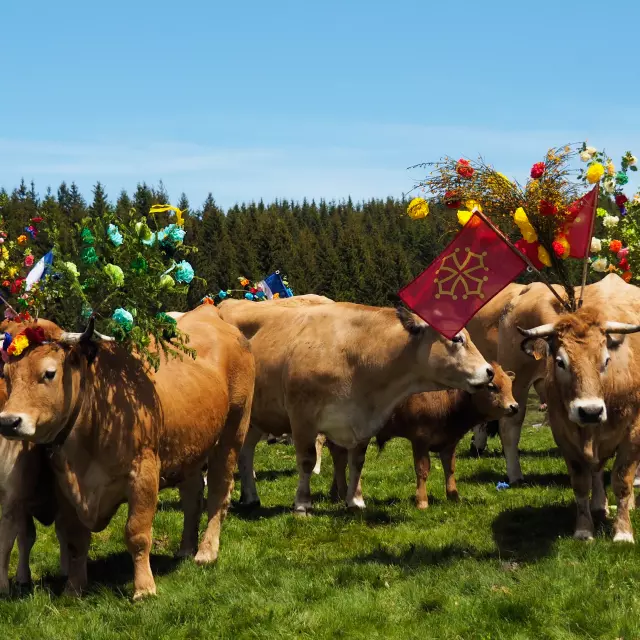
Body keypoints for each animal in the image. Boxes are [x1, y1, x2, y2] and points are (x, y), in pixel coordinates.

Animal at [0, 302, 254, 596]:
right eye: (6, 375)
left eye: (49, 373)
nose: (8, 421)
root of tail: (211, 314)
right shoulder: (65, 486)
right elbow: (75, 540)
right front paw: (74, 588)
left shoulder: (143, 475)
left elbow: (137, 533)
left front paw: (144, 588)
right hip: (189, 449)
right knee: (192, 499)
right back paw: (185, 549)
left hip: (232, 432)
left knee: (218, 492)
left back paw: (206, 551)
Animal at [220, 300, 496, 516]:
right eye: (457, 338)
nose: (489, 371)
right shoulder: (302, 417)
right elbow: (308, 461)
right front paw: (302, 505)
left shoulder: (362, 422)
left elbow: (357, 461)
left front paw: (356, 501)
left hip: (255, 417)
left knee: (245, 453)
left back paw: (250, 496)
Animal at [328, 362, 516, 508]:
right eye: (492, 387)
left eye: (510, 385)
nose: (514, 406)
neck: (446, 400)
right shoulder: (420, 440)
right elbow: (422, 470)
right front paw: (422, 501)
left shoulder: (449, 442)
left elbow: (450, 469)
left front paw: (454, 496)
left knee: (340, 460)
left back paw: (337, 493)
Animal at [516, 276, 640, 540]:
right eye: (560, 362)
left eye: (606, 360)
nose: (590, 411)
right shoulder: (564, 434)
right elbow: (581, 482)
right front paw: (584, 529)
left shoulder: (634, 433)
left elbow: (622, 480)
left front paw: (623, 532)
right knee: (596, 468)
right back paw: (599, 505)